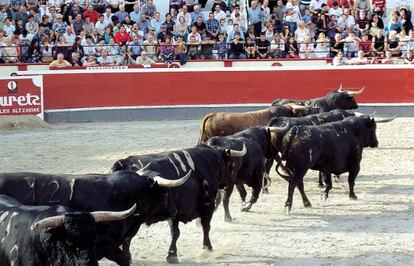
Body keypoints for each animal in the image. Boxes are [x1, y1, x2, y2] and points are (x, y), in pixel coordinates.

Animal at [111, 144, 246, 262]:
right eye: (228, 164)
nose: (227, 182)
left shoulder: (174, 212)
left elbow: (175, 232)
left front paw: (172, 254)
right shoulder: (207, 205)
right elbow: (204, 227)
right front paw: (207, 248)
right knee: (127, 239)